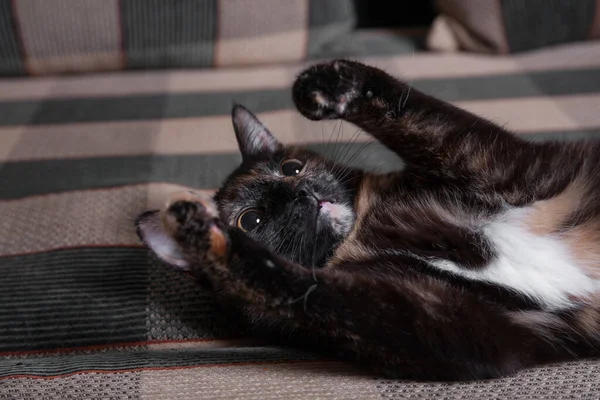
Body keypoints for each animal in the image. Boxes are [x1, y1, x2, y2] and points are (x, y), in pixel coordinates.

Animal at [138, 59, 600, 382]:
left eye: (291, 168)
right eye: (251, 220)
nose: (302, 193)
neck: (362, 231)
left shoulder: (499, 165)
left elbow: (420, 116)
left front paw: (329, 85)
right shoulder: (451, 327)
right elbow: (311, 292)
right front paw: (205, 237)